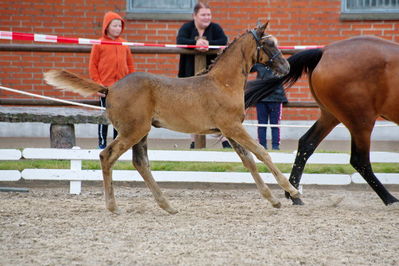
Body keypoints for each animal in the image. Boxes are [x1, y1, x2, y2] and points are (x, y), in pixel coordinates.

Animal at [43, 22, 300, 214]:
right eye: (268, 44)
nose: (286, 67)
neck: (222, 83)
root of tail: (110, 88)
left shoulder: (228, 130)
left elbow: (249, 161)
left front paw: (274, 199)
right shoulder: (233, 127)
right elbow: (262, 152)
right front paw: (292, 191)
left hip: (141, 132)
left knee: (140, 163)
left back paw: (167, 205)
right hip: (132, 131)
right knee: (107, 156)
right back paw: (113, 206)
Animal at [247, 35, 399, 206]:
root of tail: (324, 51)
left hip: (331, 116)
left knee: (307, 143)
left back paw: (294, 195)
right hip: (360, 120)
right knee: (360, 160)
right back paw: (391, 199)